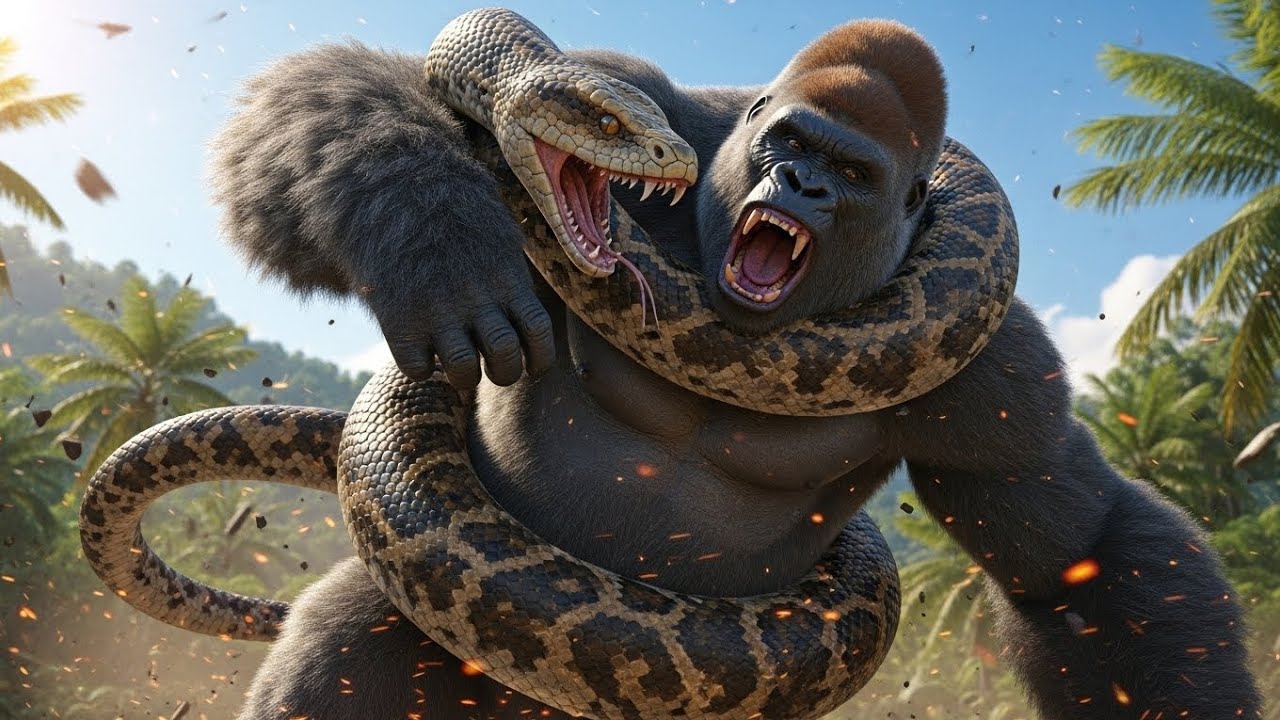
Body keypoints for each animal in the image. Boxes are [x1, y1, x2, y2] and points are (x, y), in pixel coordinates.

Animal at [210, 18, 1261, 720]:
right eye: (789, 144)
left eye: (851, 173)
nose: (799, 184)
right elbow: (342, 83)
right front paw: (442, 252)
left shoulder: (1003, 374)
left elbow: (1072, 556)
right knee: (343, 642)